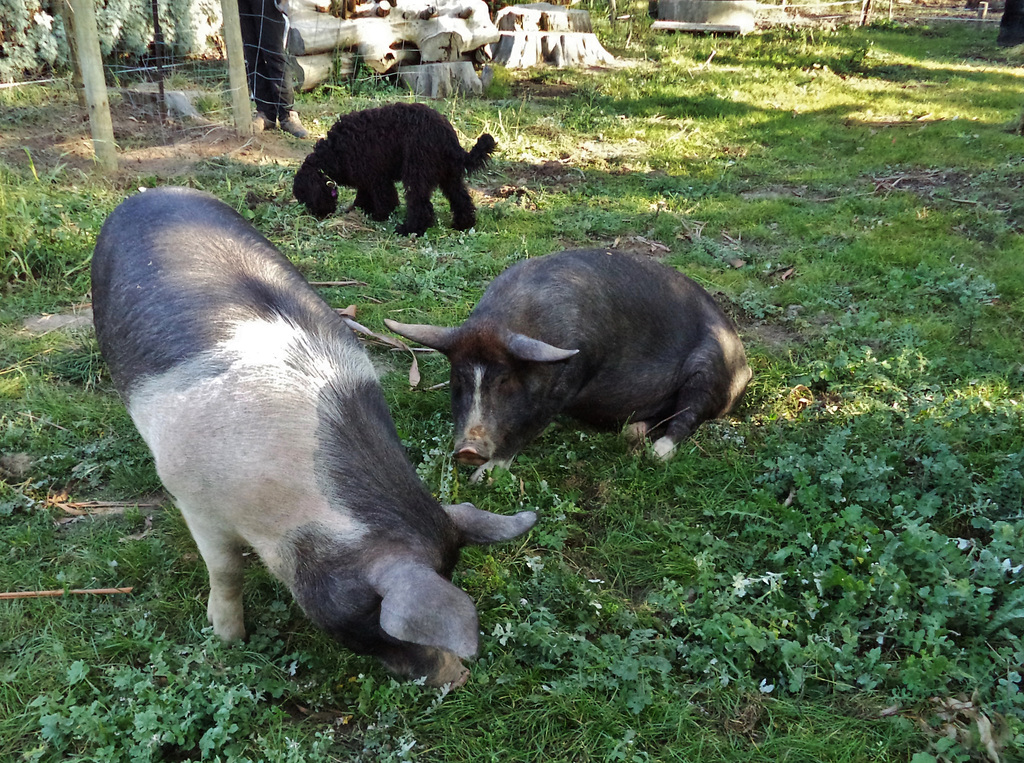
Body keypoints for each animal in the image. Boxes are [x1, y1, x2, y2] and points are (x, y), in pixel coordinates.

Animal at [90, 184, 536, 684]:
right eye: (381, 621)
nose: (456, 677)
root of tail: (148, 193)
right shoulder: (194, 496)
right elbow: (225, 570)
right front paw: (228, 640)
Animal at [292, 101, 495, 235]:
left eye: (305, 197)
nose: (317, 216)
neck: (333, 152)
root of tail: (447, 136)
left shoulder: (377, 177)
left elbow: (384, 198)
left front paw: (379, 215)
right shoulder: (367, 178)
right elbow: (364, 195)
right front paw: (361, 210)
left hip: (417, 173)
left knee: (421, 206)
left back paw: (409, 229)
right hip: (449, 176)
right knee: (461, 199)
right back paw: (463, 224)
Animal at [385, 246, 753, 479]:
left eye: (504, 381)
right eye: (457, 379)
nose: (468, 450)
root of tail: (745, 364)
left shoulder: (572, 377)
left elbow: (530, 424)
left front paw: (484, 476)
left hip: (711, 365)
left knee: (690, 413)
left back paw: (656, 453)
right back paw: (632, 433)